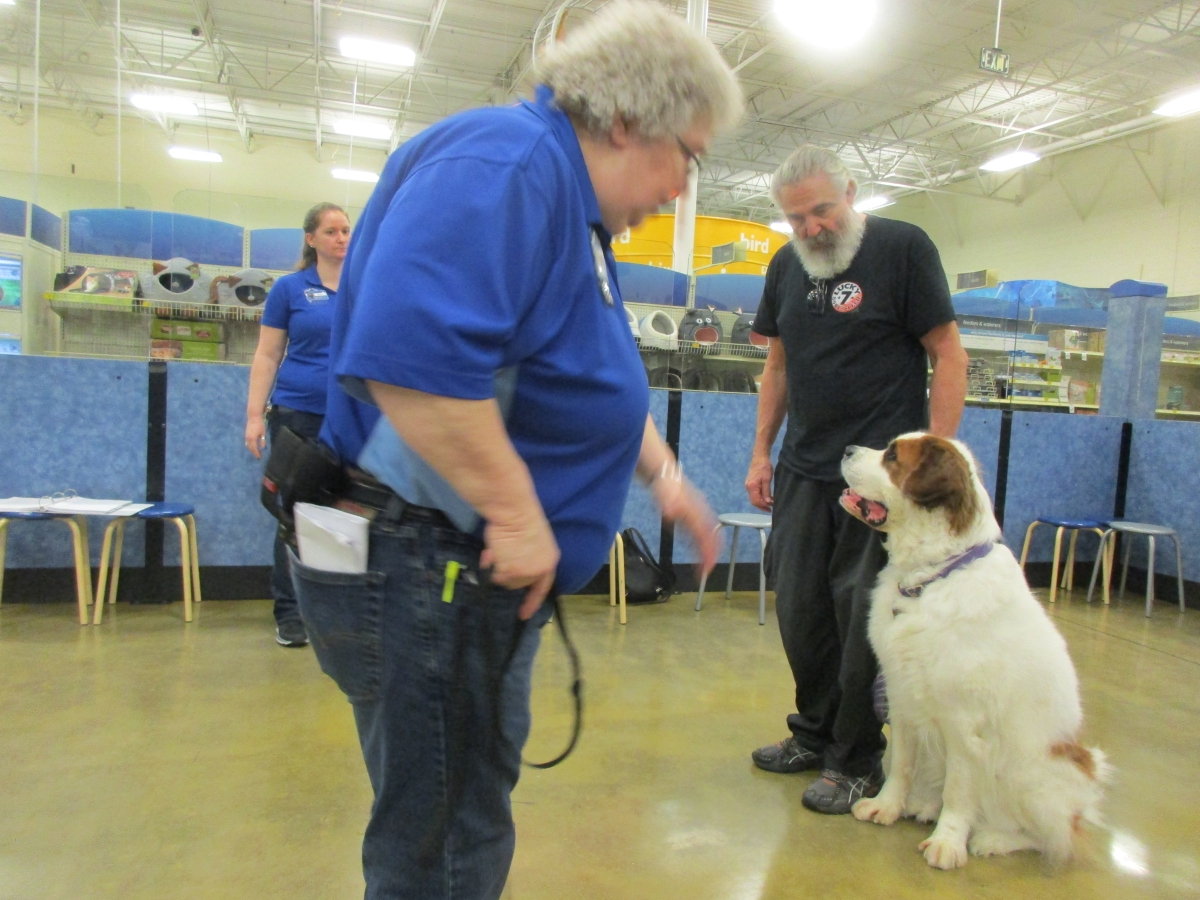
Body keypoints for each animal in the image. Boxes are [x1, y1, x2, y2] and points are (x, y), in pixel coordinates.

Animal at [839, 433, 1107, 870]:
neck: (931, 577)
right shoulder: (902, 696)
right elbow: (902, 763)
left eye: (893, 456)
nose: (847, 449)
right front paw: (886, 806)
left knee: (1053, 837)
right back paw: (924, 806)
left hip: (1031, 772)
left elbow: (959, 788)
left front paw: (948, 842)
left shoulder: (964, 722)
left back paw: (992, 838)